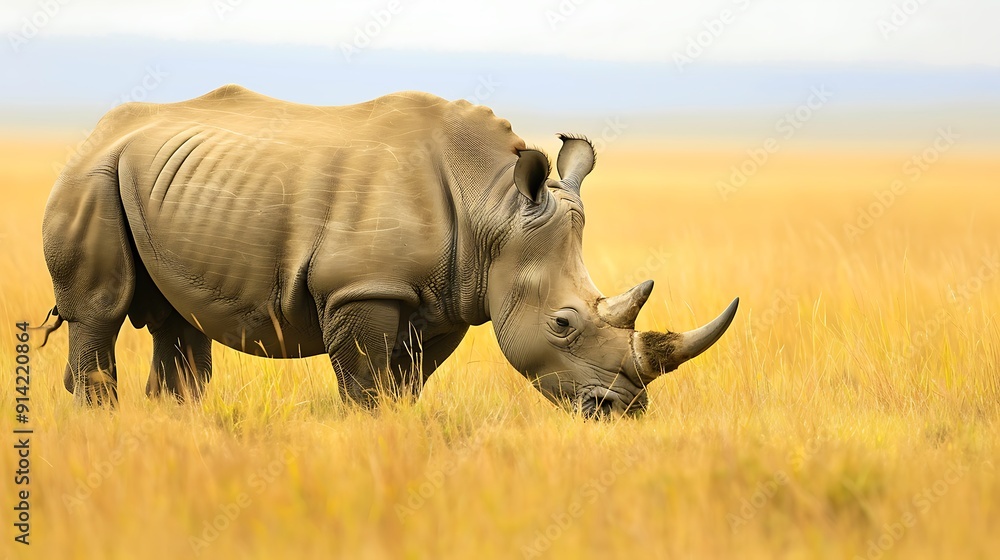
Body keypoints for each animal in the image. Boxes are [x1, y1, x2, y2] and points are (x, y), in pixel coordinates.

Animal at [40, 85, 738, 416]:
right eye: (563, 323)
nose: (623, 410)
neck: (494, 207)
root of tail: (95, 130)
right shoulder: (361, 287)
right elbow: (365, 386)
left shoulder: (449, 297)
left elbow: (406, 382)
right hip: (92, 175)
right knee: (99, 313)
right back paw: (102, 420)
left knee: (176, 323)